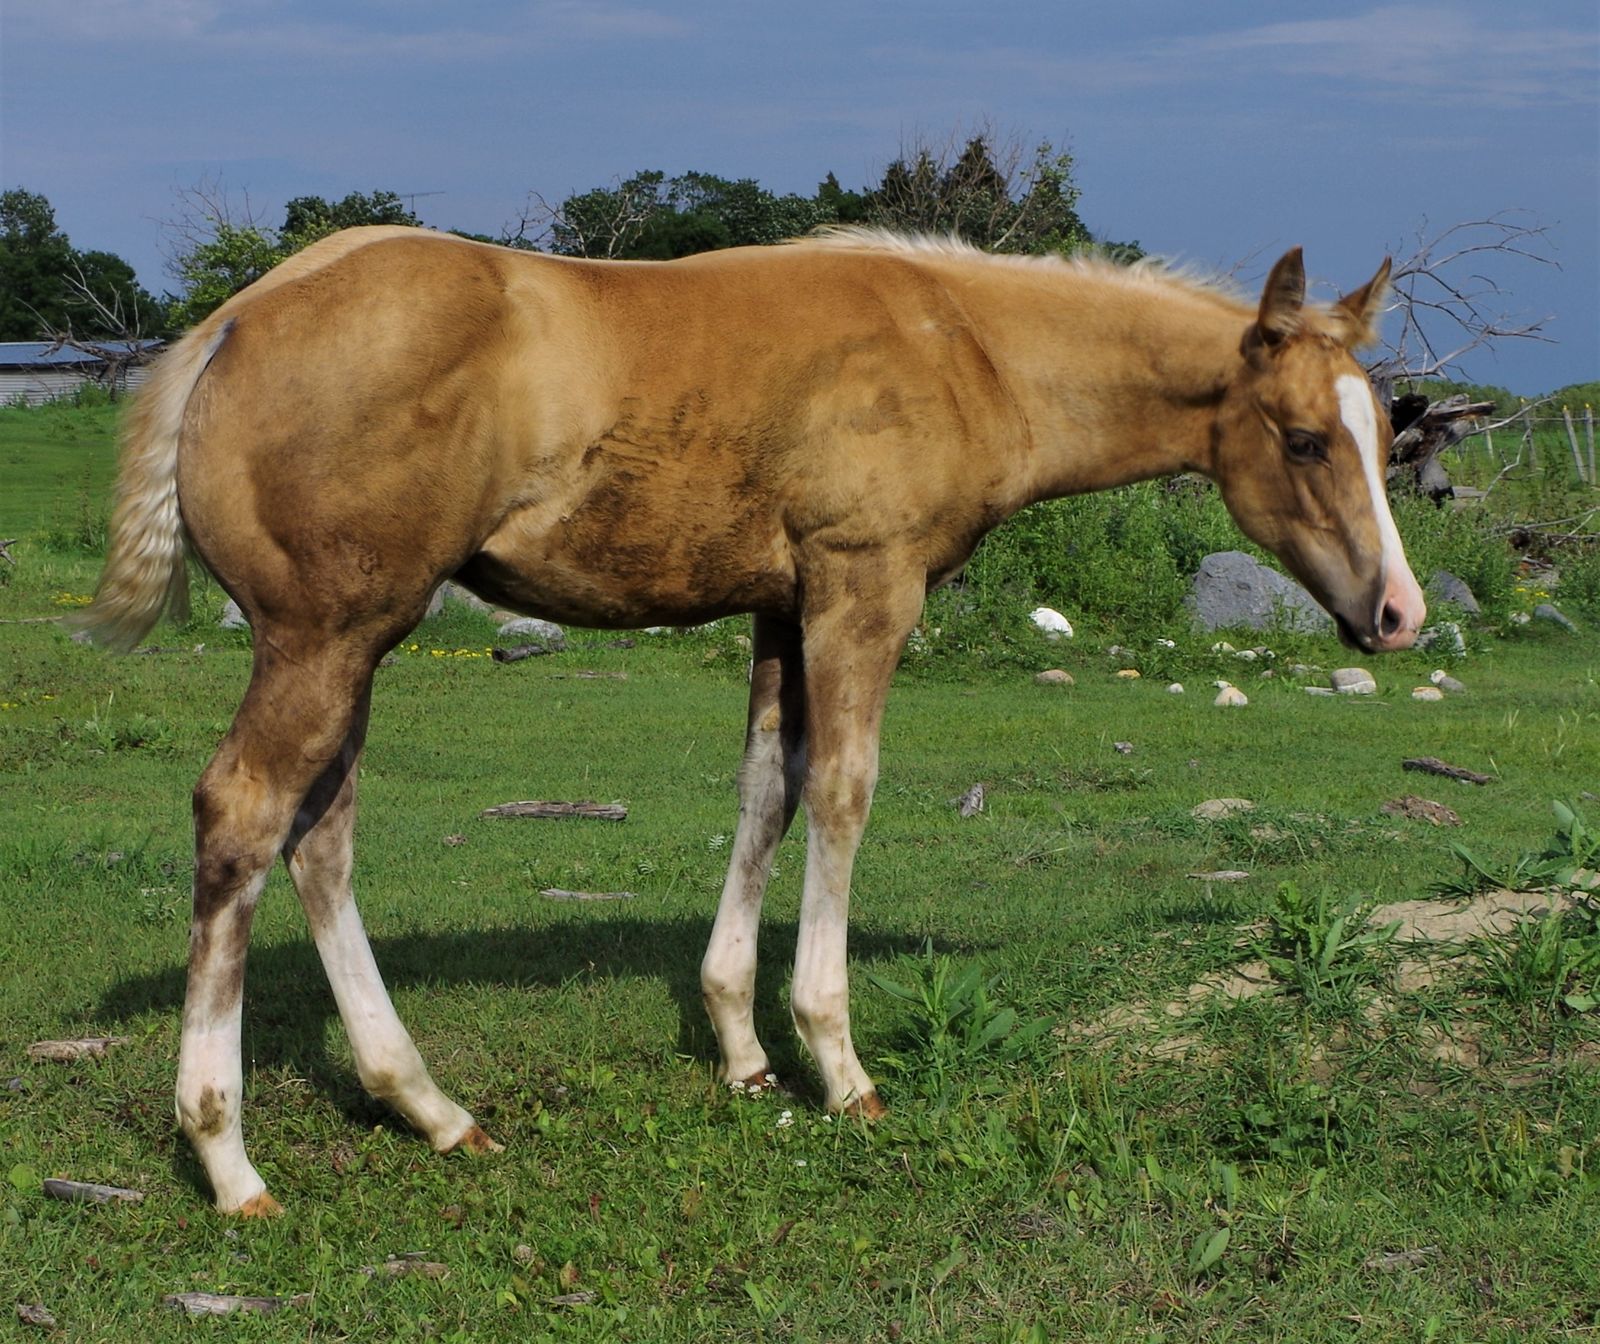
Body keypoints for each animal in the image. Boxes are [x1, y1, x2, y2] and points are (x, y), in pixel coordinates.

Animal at [74, 225, 1424, 1214]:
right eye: (1307, 439)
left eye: (1383, 436)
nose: (1398, 614)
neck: (965, 345)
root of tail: (232, 323)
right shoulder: (863, 586)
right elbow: (843, 791)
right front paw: (839, 1061)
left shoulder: (781, 606)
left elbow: (765, 787)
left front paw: (741, 1047)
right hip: (326, 633)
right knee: (246, 814)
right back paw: (227, 1158)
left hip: (354, 644)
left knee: (321, 834)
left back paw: (430, 1107)